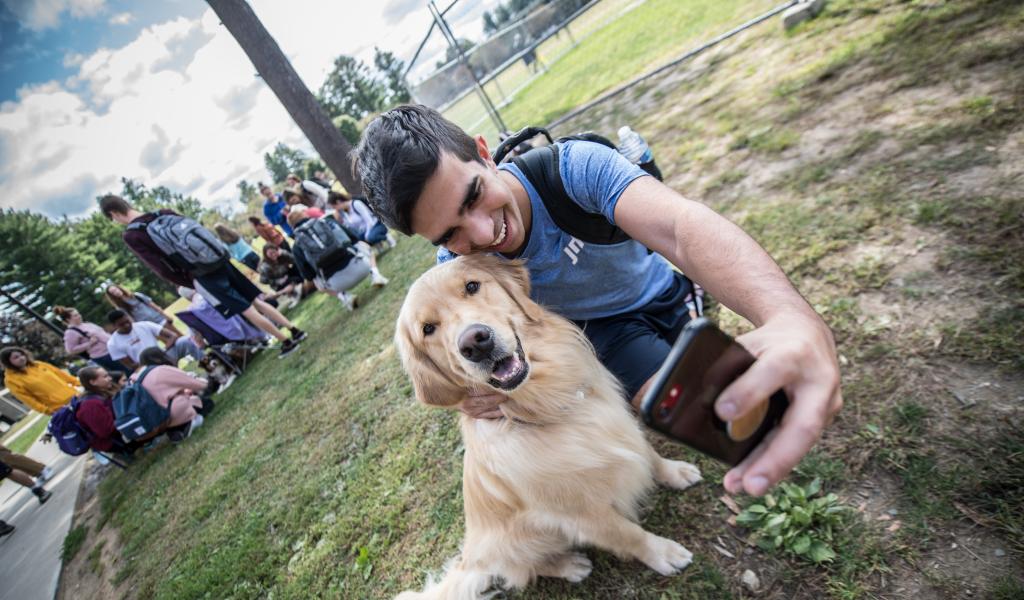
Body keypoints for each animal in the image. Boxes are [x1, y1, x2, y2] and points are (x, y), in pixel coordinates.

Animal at [393, 253, 704, 597]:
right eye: (428, 329)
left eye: (472, 286)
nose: (475, 343)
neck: (549, 400)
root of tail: (471, 560)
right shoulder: (581, 513)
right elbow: (628, 533)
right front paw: (662, 552)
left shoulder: (620, 423)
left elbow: (649, 454)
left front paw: (675, 472)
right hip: (524, 539)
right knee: (520, 571)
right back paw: (568, 565)